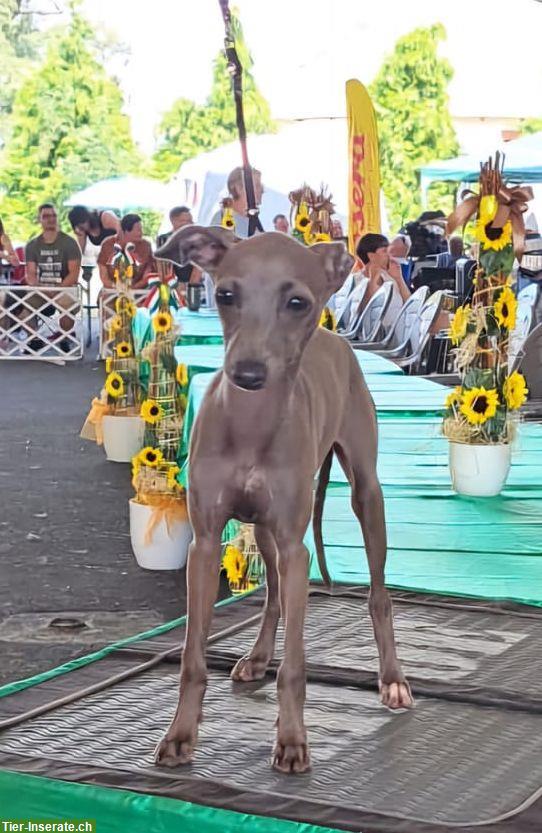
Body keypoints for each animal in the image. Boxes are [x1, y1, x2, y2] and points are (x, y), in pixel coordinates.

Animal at [153, 228, 412, 772]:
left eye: (297, 302)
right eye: (225, 294)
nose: (247, 373)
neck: (251, 424)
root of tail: (336, 337)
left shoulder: (298, 551)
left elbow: (295, 665)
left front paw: (292, 739)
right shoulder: (205, 545)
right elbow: (192, 658)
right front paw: (180, 734)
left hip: (366, 495)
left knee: (378, 596)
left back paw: (393, 679)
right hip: (262, 528)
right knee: (271, 597)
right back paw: (256, 657)